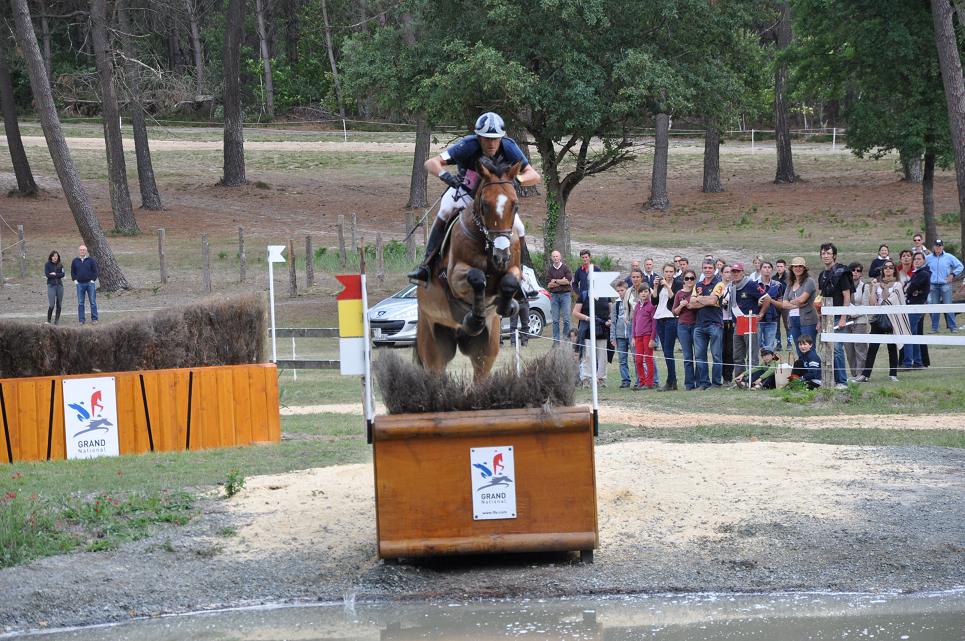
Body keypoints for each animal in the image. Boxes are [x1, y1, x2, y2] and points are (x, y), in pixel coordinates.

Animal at [412, 158, 524, 380]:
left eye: (514, 205)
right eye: (485, 205)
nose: (501, 255)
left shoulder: (514, 268)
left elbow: (510, 281)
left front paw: (507, 306)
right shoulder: (455, 276)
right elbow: (477, 277)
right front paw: (475, 317)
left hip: (485, 348)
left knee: (480, 374)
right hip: (432, 340)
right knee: (435, 370)